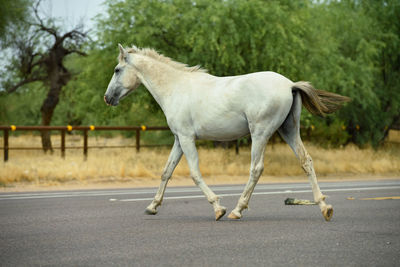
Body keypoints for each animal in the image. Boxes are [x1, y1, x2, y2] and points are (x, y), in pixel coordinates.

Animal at [104, 44, 348, 222]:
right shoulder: (178, 140)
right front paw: (152, 206)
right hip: (288, 131)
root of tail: (289, 85)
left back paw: (237, 210)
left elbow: (194, 173)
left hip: (260, 134)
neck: (176, 88)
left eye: (117, 70)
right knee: (306, 161)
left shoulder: (186, 138)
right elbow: (166, 172)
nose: (107, 98)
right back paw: (324, 207)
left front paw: (218, 208)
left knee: (256, 169)